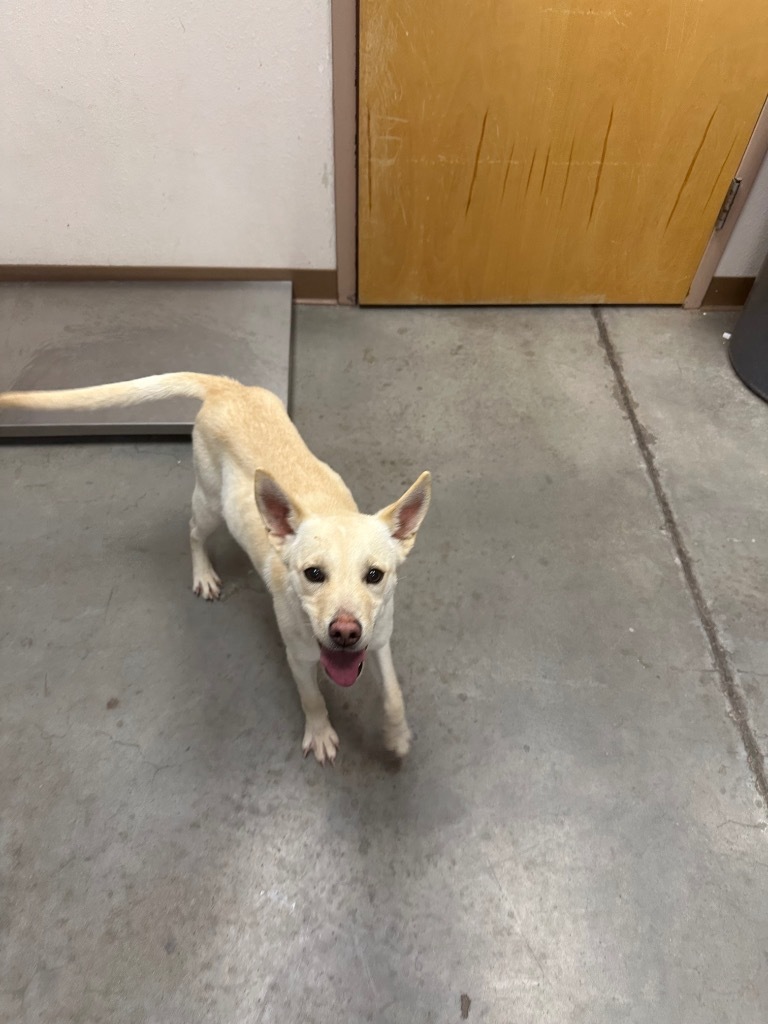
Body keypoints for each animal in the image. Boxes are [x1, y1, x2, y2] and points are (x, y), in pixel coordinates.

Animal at [0, 372, 430, 765]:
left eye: (374, 575)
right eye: (313, 574)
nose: (345, 633)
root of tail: (228, 387)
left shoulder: (379, 641)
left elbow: (393, 694)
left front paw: (397, 735)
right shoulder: (297, 657)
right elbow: (311, 697)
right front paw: (321, 732)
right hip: (208, 503)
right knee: (193, 532)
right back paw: (203, 574)